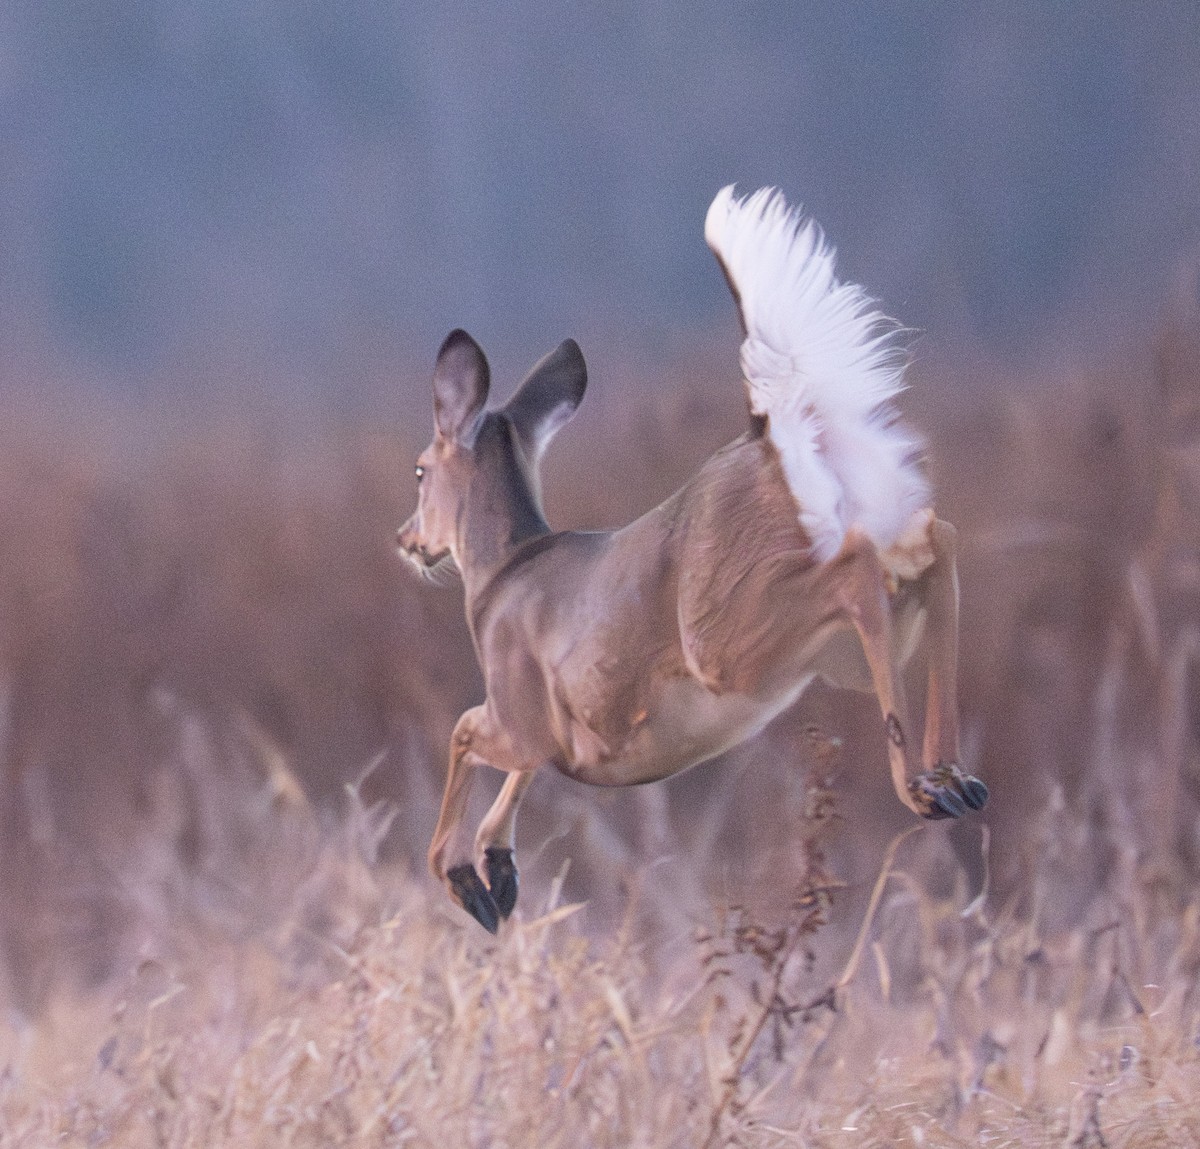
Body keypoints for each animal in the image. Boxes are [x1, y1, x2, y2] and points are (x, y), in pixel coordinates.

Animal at [397, 186, 988, 932]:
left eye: (420, 470)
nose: (407, 540)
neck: (502, 572)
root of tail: (772, 435)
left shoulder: (521, 710)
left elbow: (462, 731)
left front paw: (466, 881)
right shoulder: (554, 737)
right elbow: (515, 770)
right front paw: (497, 873)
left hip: (728, 633)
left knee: (857, 568)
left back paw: (919, 788)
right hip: (837, 633)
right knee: (940, 538)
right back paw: (955, 781)